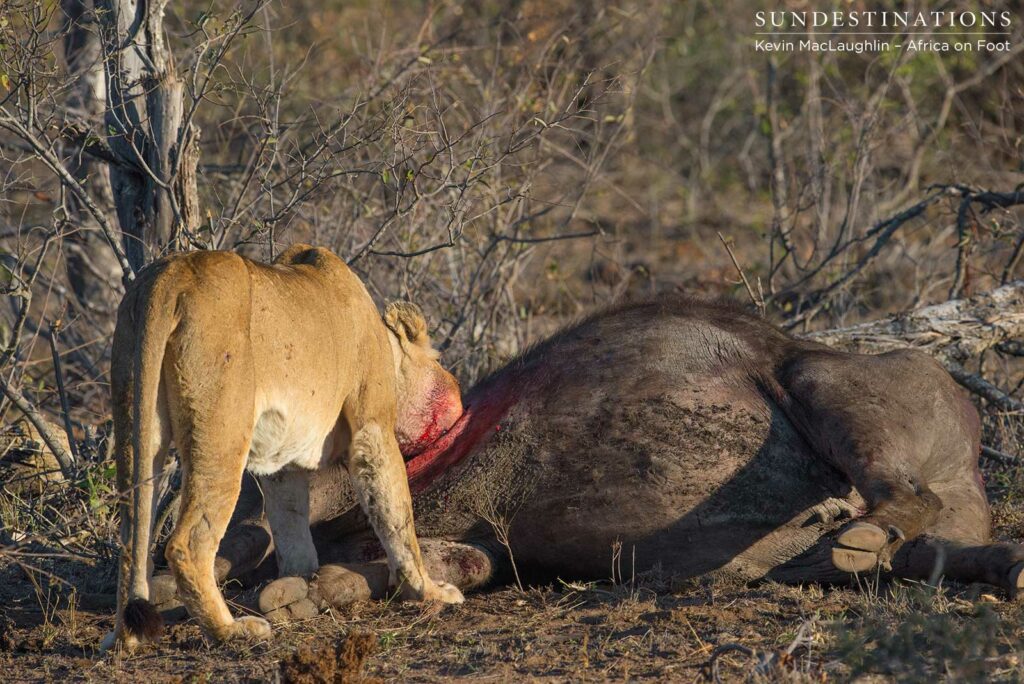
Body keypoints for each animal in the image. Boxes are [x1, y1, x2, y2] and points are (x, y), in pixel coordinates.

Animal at [101, 244, 465, 650]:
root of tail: (171, 274)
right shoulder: (372, 428)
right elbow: (397, 518)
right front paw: (428, 590)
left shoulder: (281, 464)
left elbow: (290, 522)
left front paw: (300, 581)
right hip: (222, 429)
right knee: (187, 545)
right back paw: (231, 630)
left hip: (134, 413)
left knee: (133, 534)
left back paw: (125, 638)